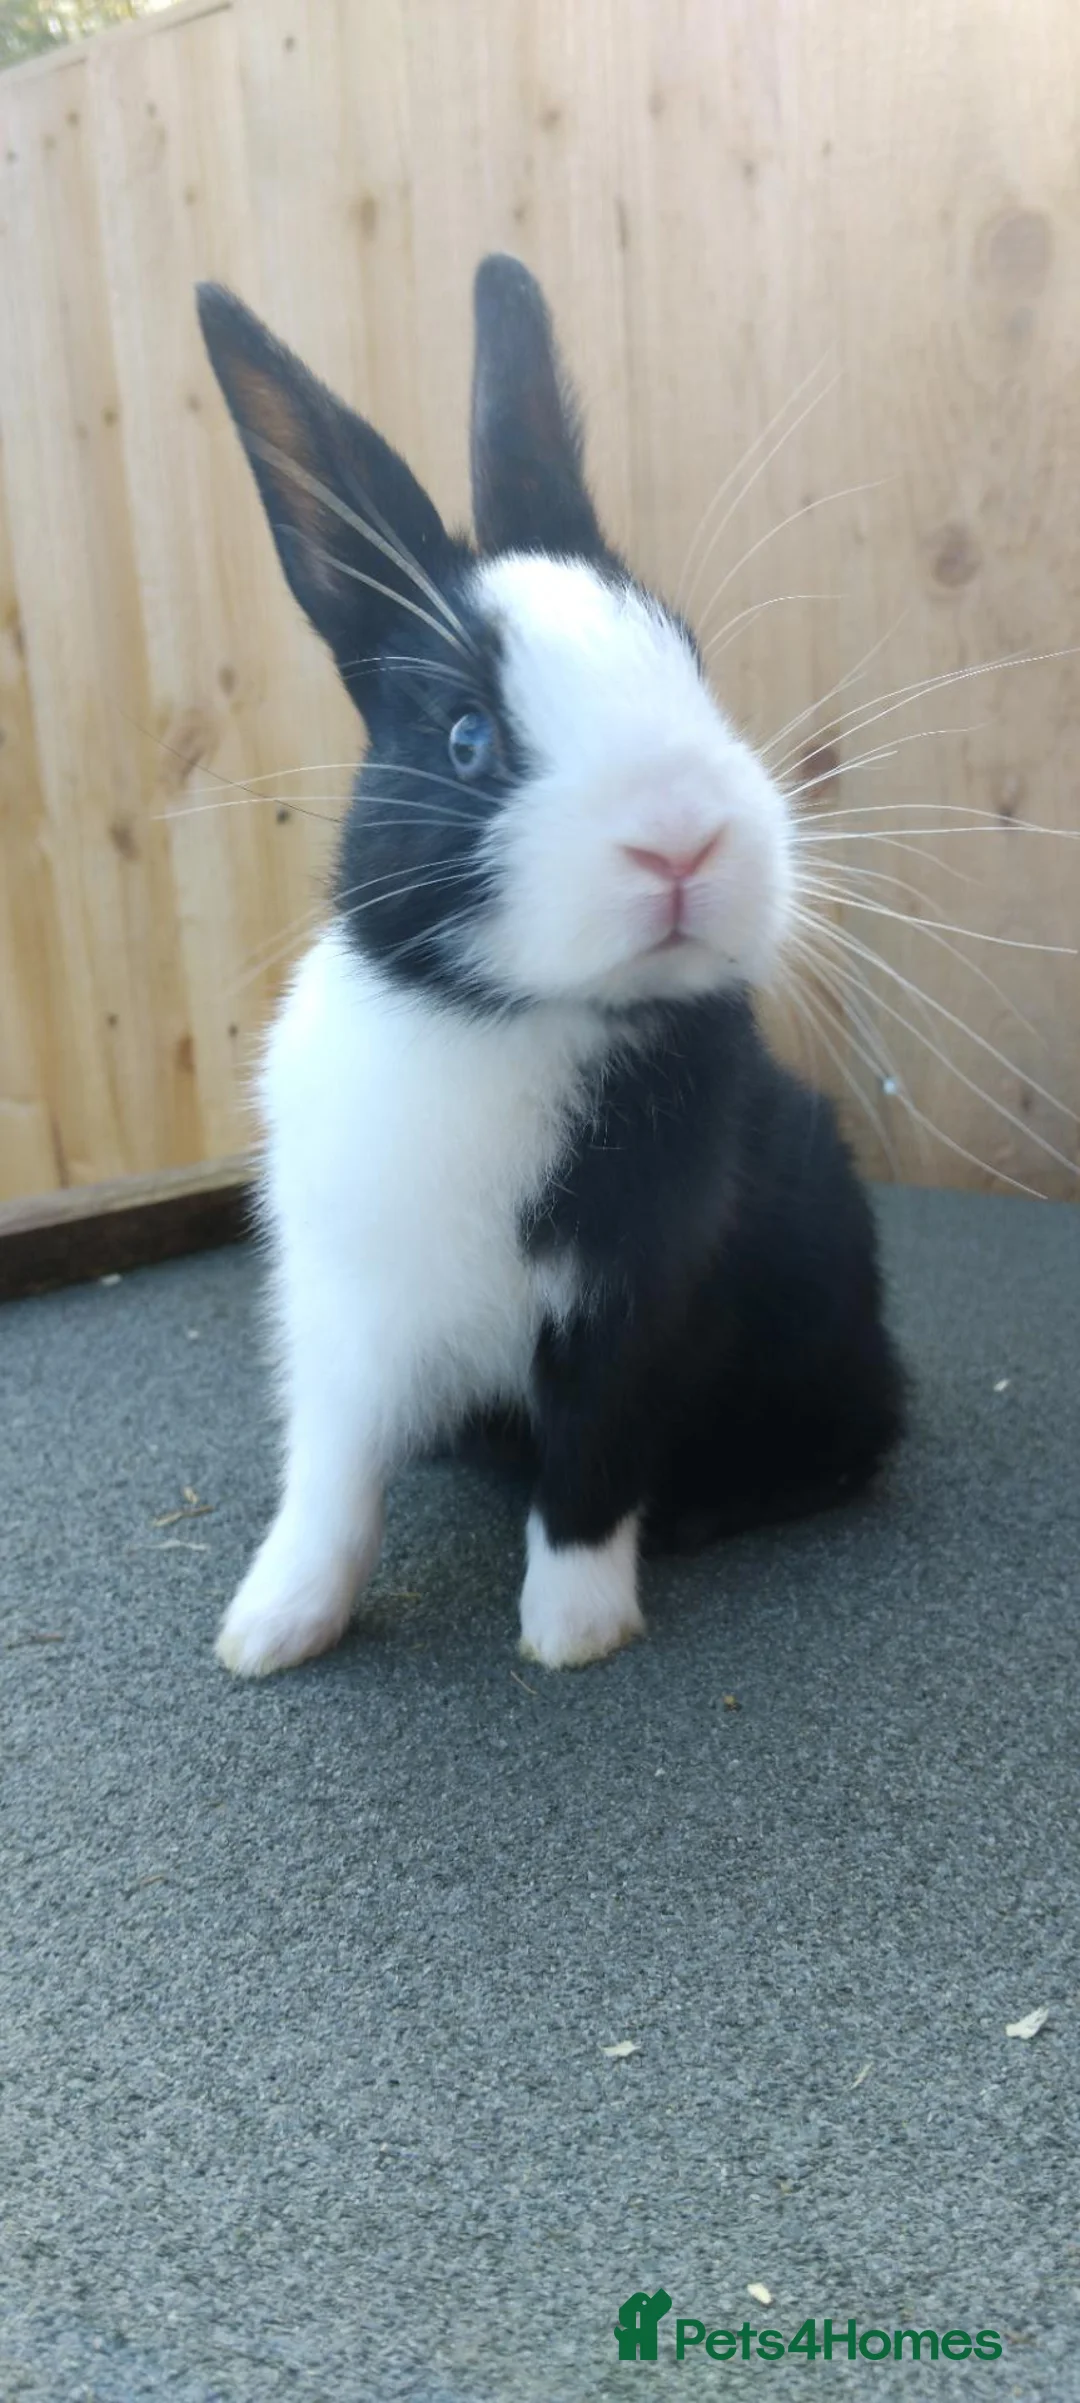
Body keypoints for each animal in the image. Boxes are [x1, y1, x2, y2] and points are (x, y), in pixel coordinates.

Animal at [196, 254, 905, 1677]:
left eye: (695, 666)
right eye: (468, 737)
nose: (682, 836)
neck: (506, 1017)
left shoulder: (634, 1301)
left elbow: (589, 1462)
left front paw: (573, 1635)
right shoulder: (342, 1309)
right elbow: (329, 1483)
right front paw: (271, 1630)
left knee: (856, 1446)